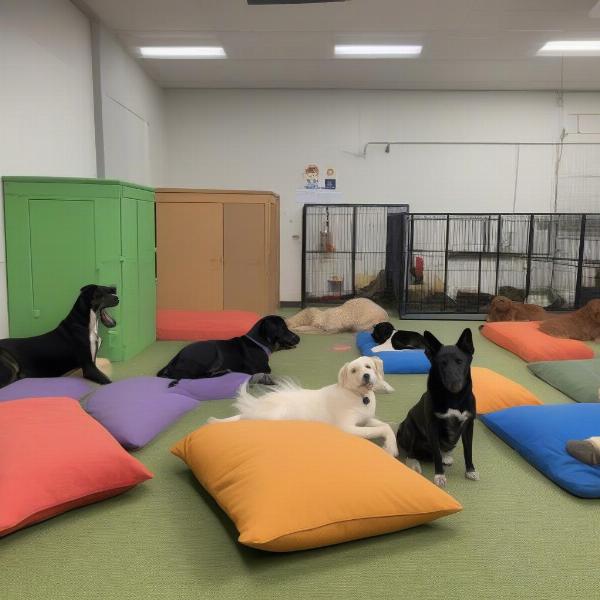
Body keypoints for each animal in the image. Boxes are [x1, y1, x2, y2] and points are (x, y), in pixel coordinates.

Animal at [156, 316, 298, 386]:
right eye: (283, 328)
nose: (298, 338)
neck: (258, 343)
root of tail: (173, 361)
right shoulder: (261, 368)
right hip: (210, 351)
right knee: (192, 376)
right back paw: (222, 372)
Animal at [206, 356, 398, 454]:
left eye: (368, 367)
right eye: (353, 370)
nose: (366, 376)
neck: (358, 395)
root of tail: (252, 408)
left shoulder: (366, 420)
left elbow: (385, 426)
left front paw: (391, 445)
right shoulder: (347, 427)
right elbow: (378, 429)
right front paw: (390, 447)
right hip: (275, 414)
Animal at [398, 328, 478, 488]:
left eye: (460, 362)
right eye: (442, 364)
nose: (455, 385)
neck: (454, 398)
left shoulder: (468, 425)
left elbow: (468, 451)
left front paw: (470, 470)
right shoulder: (432, 427)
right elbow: (436, 454)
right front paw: (440, 476)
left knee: (444, 449)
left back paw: (446, 456)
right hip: (409, 427)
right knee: (411, 452)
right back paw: (414, 462)